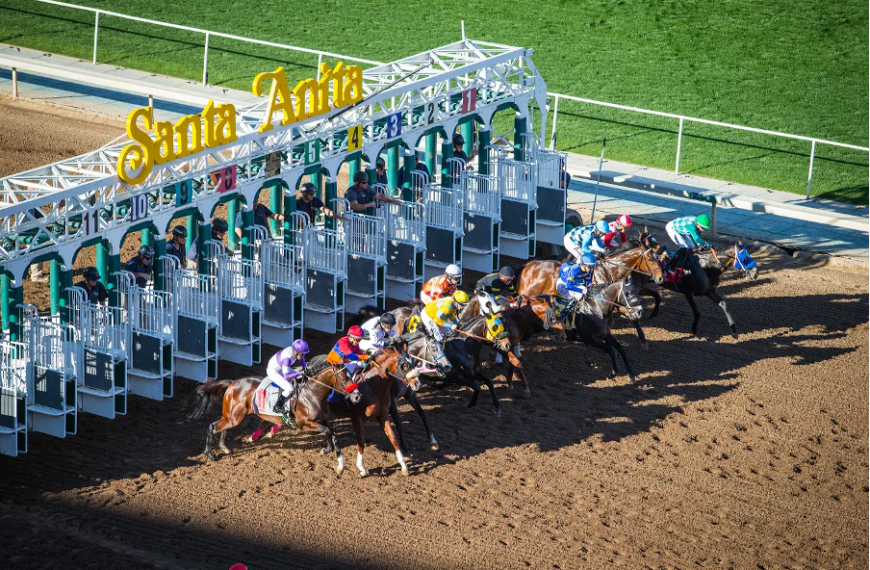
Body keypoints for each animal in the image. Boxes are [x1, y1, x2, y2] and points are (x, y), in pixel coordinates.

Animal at [182, 342, 420, 474]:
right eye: (404, 364)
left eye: (414, 363)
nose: (356, 396)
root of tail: (232, 383)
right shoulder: (313, 423)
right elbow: (343, 436)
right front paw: (350, 465)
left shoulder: (375, 416)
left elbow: (388, 437)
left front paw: (403, 466)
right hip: (234, 416)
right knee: (213, 426)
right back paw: (211, 454)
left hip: (236, 415)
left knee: (224, 428)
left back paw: (228, 446)